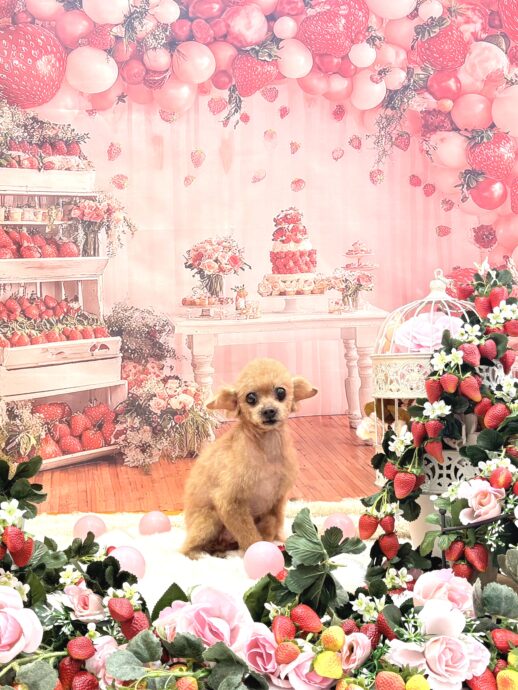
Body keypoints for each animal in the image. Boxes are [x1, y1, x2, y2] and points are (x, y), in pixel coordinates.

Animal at [180, 358, 317, 559]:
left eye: (281, 392)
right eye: (250, 398)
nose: (269, 411)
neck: (266, 448)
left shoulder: (276, 500)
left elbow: (273, 524)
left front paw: (278, 540)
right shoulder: (229, 503)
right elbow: (249, 535)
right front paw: (258, 552)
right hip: (210, 520)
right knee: (185, 548)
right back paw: (199, 556)